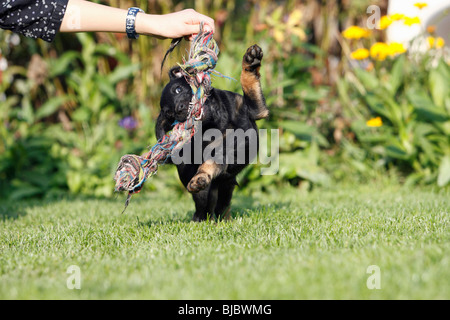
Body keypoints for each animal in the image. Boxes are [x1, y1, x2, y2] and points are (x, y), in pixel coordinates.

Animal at [156, 44, 268, 220]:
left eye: (178, 89)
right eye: (170, 115)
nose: (179, 109)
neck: (219, 122)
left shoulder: (257, 110)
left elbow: (248, 82)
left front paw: (251, 62)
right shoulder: (219, 154)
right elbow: (208, 164)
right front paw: (199, 178)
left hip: (226, 186)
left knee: (222, 206)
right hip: (204, 191)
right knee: (204, 209)